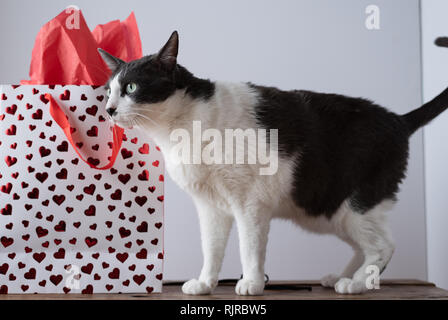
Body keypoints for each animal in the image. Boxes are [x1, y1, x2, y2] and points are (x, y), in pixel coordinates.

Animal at [98, 30, 448, 296]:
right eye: (109, 91)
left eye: (131, 87)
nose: (109, 110)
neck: (181, 128)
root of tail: (398, 120)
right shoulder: (211, 207)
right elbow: (212, 248)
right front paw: (206, 283)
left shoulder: (251, 203)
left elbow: (249, 246)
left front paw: (252, 283)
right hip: (332, 212)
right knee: (364, 245)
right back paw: (343, 276)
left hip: (356, 204)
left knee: (383, 246)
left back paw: (357, 283)